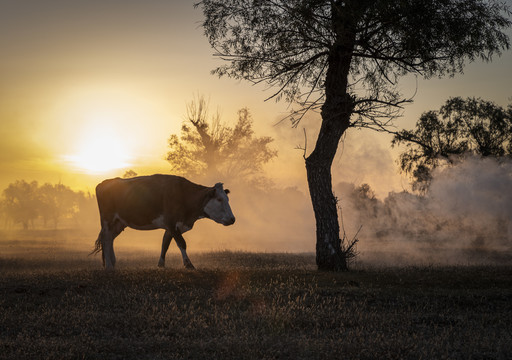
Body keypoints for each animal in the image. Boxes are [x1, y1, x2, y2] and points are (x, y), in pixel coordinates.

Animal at [91, 174, 235, 270]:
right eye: (219, 199)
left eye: (227, 199)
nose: (232, 219)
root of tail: (104, 183)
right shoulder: (171, 222)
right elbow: (181, 243)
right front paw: (188, 264)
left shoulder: (172, 226)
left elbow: (165, 243)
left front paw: (161, 264)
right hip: (107, 220)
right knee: (106, 238)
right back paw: (109, 266)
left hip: (119, 223)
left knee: (110, 239)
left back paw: (112, 262)